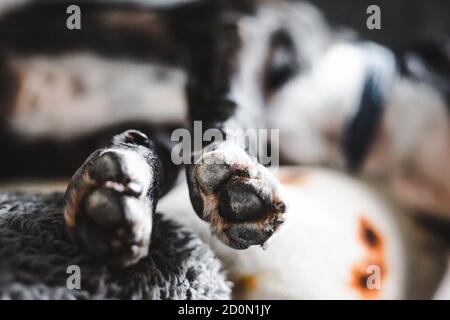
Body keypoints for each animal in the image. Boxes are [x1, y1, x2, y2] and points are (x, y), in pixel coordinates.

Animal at [0, 0, 450, 300]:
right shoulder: (249, 23)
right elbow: (233, 98)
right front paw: (232, 170)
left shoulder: (167, 130)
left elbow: (151, 147)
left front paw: (118, 187)